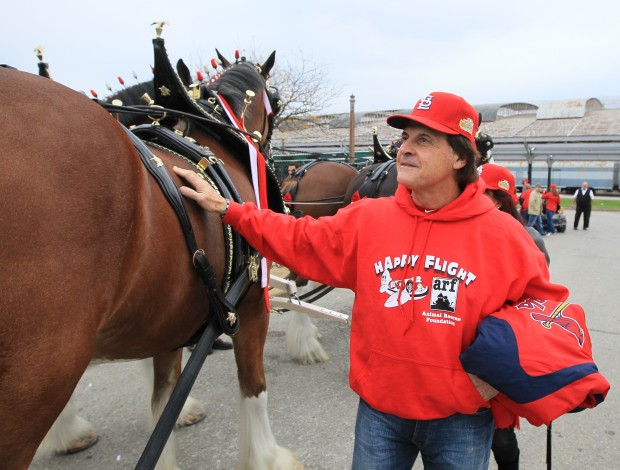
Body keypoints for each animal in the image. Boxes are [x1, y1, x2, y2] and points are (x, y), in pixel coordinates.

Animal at [0, 41, 300, 470]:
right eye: (274, 101)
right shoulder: (251, 305)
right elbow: (254, 387)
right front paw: (267, 457)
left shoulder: (166, 308)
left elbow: (163, 401)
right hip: (40, 372)